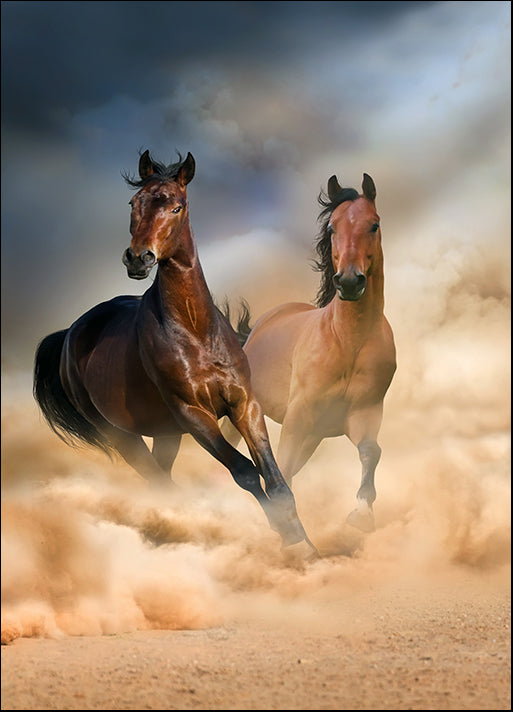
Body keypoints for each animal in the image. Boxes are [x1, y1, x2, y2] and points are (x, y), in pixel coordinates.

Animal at [33, 149, 314, 552]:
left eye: (176, 206)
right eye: (134, 203)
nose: (138, 258)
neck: (195, 330)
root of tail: (70, 333)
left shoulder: (244, 403)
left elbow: (274, 478)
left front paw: (304, 543)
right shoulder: (193, 414)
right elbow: (245, 472)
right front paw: (289, 537)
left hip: (164, 435)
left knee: (162, 479)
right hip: (121, 435)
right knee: (157, 481)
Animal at [228, 172, 396, 533]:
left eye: (374, 225)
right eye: (332, 228)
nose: (349, 281)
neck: (347, 341)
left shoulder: (363, 414)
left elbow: (371, 452)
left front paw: (362, 514)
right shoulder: (298, 417)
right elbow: (282, 469)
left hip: (314, 436)